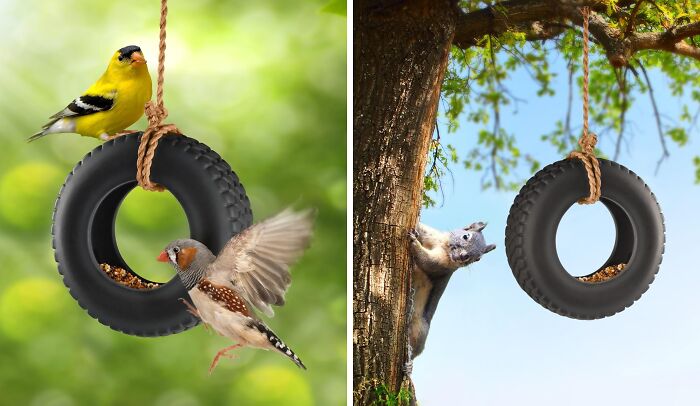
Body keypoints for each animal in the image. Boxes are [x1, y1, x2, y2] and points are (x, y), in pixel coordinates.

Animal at [407, 222, 495, 358]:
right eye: (466, 236)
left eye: (478, 259)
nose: (464, 256)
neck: (445, 248)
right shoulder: (433, 236)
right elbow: (423, 230)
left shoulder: (442, 265)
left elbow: (426, 261)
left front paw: (414, 242)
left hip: (419, 330)